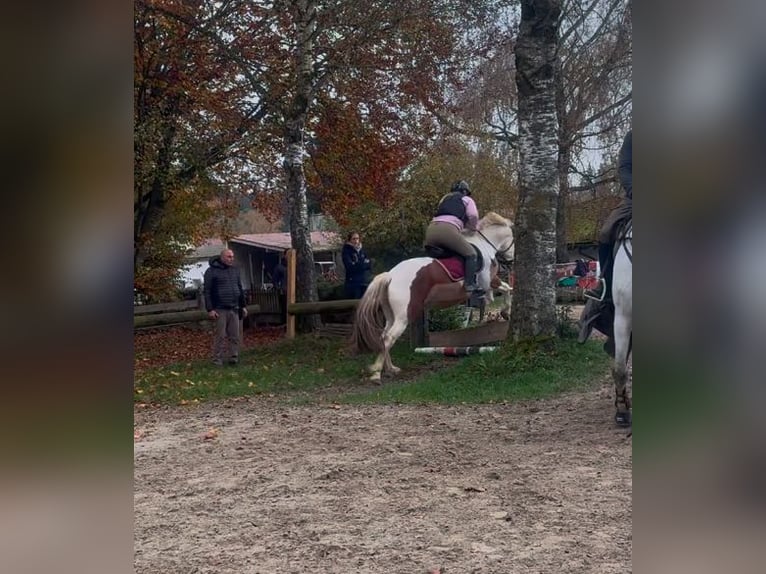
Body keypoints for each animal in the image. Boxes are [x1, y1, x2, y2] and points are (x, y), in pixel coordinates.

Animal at [354, 212, 516, 382]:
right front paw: (506, 312)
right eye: (513, 240)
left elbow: (505, 290)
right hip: (404, 314)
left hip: (391, 314)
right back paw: (377, 373)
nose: (511, 261)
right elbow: (507, 289)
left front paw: (504, 312)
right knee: (389, 337)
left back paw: (391, 368)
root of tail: (390, 275)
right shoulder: (491, 281)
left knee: (384, 336)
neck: (485, 245)